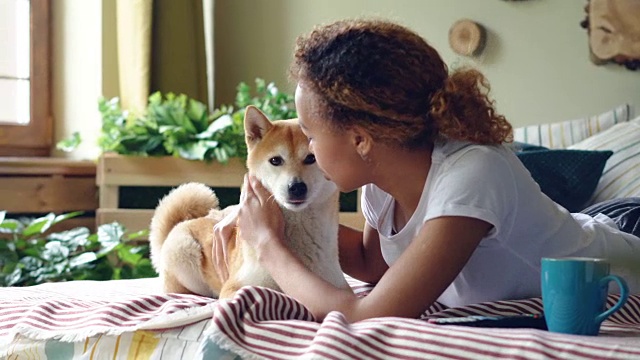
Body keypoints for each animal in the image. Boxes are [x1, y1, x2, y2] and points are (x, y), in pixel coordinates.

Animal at [149, 105, 350, 300]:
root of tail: (185, 222)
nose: (297, 187)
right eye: (275, 160)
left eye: (311, 158)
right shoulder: (235, 287)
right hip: (184, 252)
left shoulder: (336, 288)